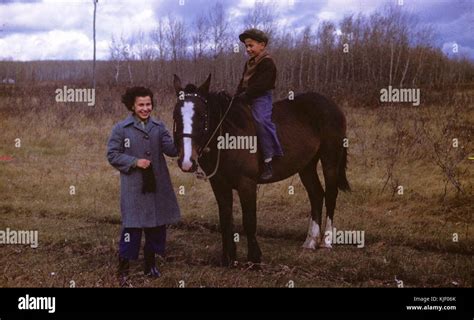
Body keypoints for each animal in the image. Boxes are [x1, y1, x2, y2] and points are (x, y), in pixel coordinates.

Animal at [172, 74, 350, 266]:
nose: (186, 161)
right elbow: (225, 219)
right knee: (316, 195)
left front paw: (254, 259)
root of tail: (332, 105)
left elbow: (249, 221)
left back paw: (326, 241)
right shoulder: (219, 184)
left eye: (202, 116)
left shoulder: (247, 183)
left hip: (330, 159)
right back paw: (310, 241)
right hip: (307, 165)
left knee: (330, 195)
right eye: (176, 116)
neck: (228, 135)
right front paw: (228, 258)